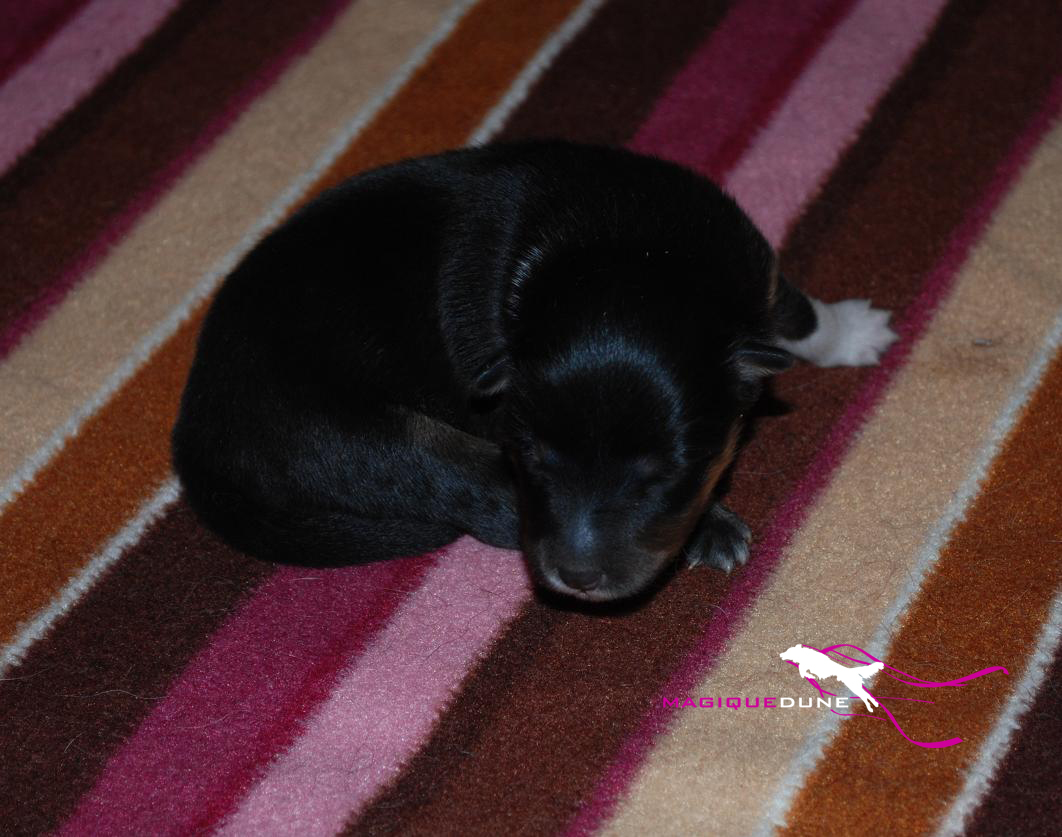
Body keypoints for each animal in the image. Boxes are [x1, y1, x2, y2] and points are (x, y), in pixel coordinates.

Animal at [172, 140, 896, 602]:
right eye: (538, 462)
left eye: (661, 476)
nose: (575, 576)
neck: (629, 252)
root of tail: (193, 434)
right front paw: (710, 525)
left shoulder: (750, 267)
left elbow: (795, 312)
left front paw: (852, 331)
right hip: (368, 439)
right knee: (477, 496)